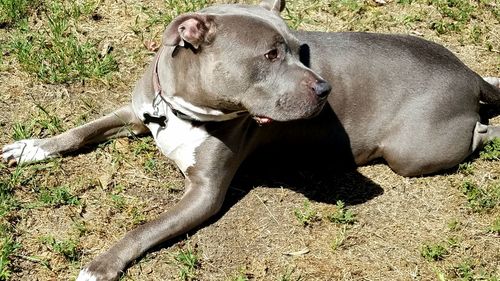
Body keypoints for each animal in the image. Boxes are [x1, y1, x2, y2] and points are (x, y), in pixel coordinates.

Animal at [2, 1, 500, 278]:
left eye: (300, 51)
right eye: (271, 54)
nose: (325, 89)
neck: (181, 111)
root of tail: (469, 74)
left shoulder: (205, 194)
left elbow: (143, 228)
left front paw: (100, 265)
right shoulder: (135, 112)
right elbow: (80, 130)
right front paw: (31, 147)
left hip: (411, 152)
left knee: (480, 131)